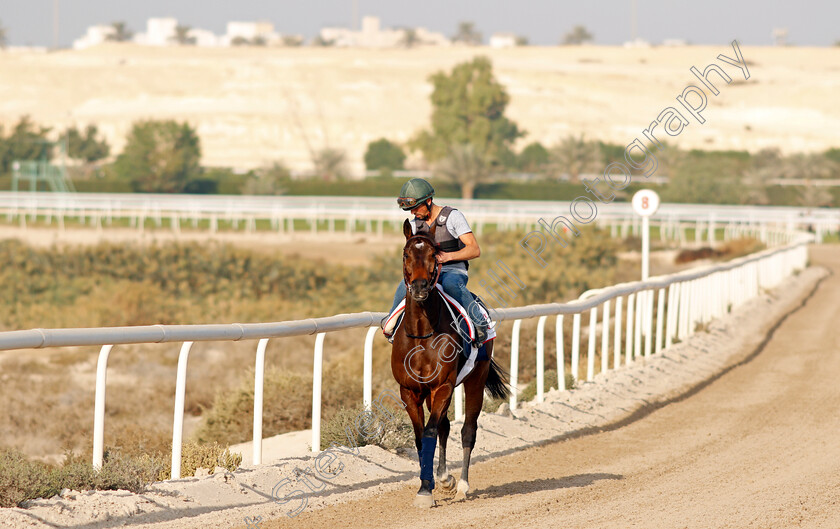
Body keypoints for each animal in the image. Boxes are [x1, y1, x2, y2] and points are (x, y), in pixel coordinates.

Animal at [390, 218, 508, 508]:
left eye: (434, 255)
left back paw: (463, 484)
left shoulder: (443, 385)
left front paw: (425, 490)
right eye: (406, 254)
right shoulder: (410, 391)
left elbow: (431, 431)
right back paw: (445, 478)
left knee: (468, 430)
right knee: (444, 426)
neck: (421, 334)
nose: (420, 287)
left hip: (476, 379)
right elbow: (422, 436)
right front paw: (432, 482)